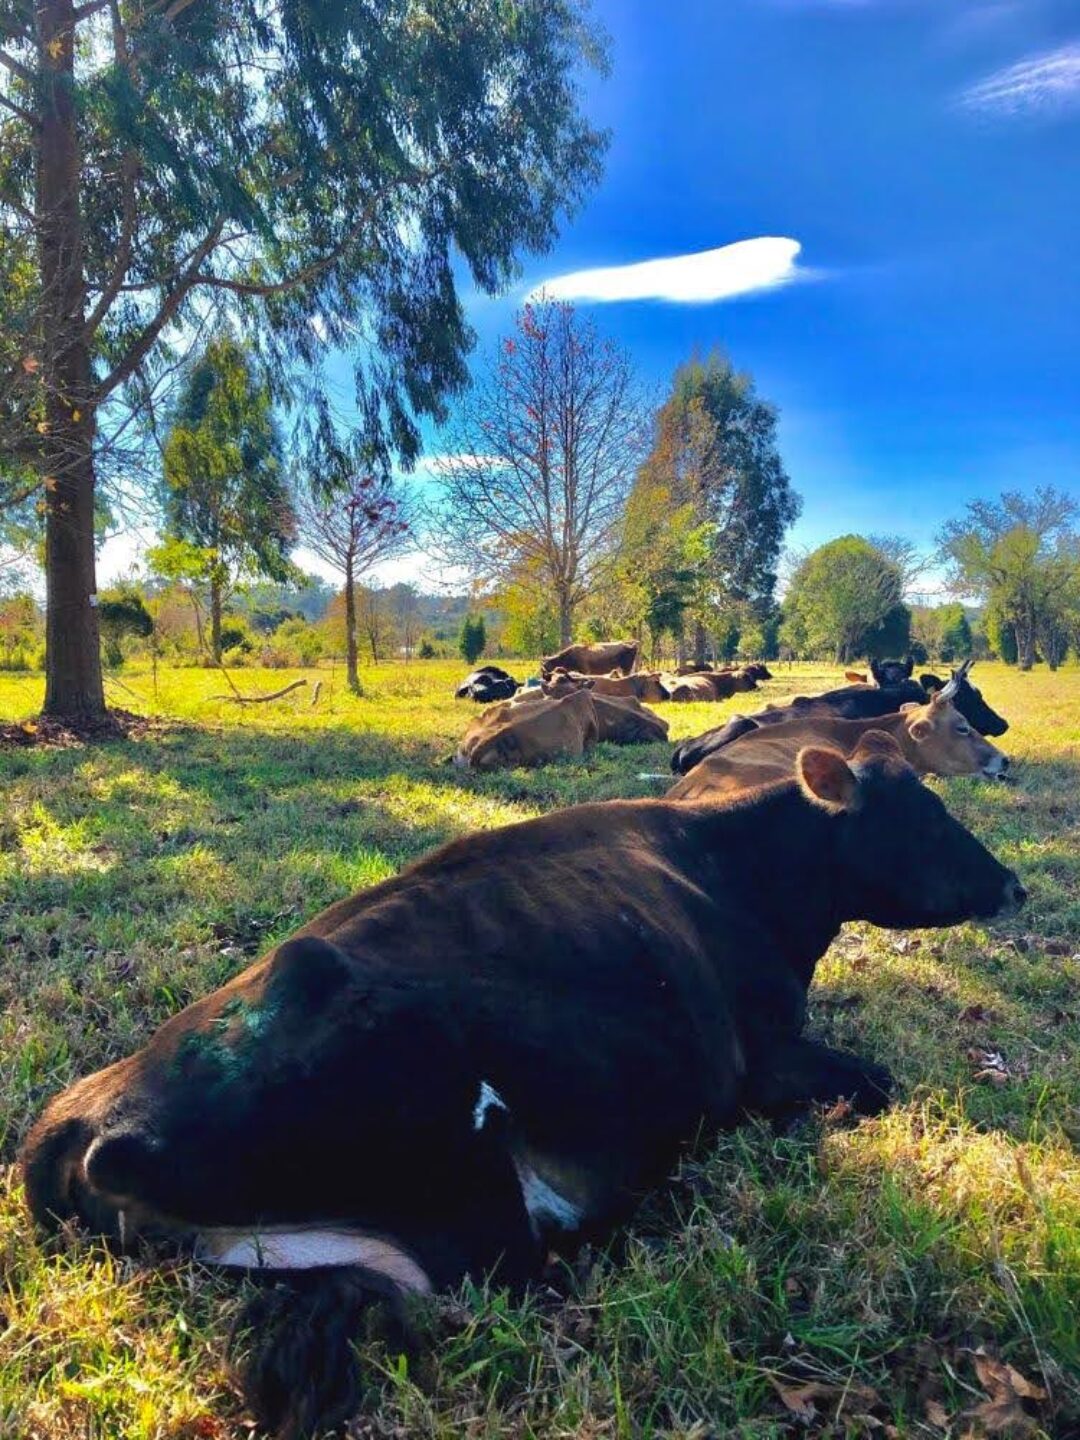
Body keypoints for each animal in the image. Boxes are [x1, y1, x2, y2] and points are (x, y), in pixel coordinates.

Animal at [21, 731, 1025, 1440]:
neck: (737, 873)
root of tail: (80, 1125)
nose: (1012, 883)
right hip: (461, 1159)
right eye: (922, 816)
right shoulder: (767, 1055)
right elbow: (878, 1079)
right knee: (506, 1270)